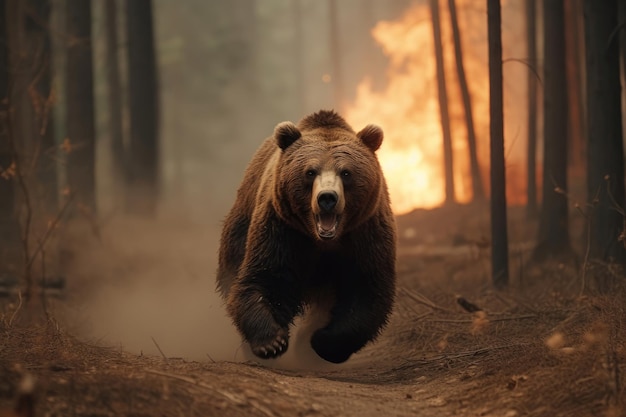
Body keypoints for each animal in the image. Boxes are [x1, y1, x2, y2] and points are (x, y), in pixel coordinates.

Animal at [216, 109, 394, 362]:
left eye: (346, 172)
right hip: (240, 227)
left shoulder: (365, 233)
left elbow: (366, 290)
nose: (327, 197)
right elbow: (264, 279)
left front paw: (320, 341)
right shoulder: (282, 229)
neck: (323, 240)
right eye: (310, 172)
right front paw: (271, 342)